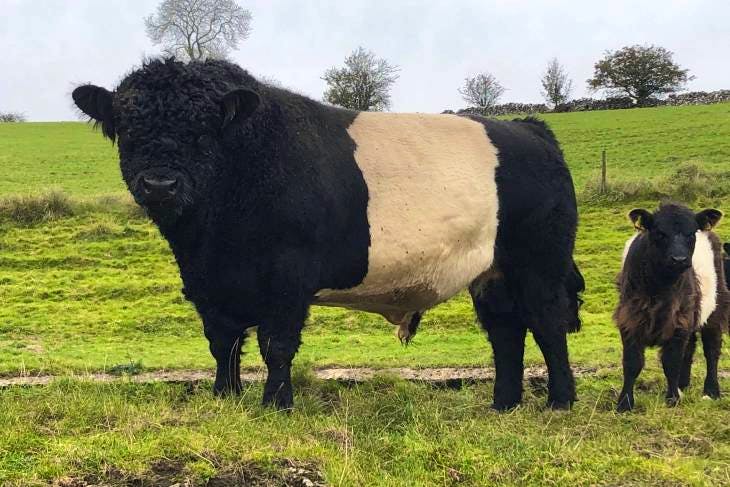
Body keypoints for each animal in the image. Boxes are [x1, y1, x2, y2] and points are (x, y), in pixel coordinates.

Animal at [74, 59, 584, 414]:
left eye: (203, 130)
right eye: (127, 129)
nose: (160, 184)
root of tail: (529, 129)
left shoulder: (288, 275)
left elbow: (276, 343)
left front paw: (276, 405)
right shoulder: (207, 283)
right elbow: (223, 342)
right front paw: (225, 397)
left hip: (539, 262)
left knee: (546, 321)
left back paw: (559, 401)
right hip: (491, 271)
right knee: (505, 329)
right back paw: (503, 404)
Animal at [616, 203, 728, 412]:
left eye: (691, 233)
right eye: (659, 233)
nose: (679, 259)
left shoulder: (678, 322)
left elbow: (671, 362)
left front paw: (673, 398)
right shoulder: (629, 319)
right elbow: (632, 363)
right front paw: (624, 403)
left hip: (716, 309)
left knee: (711, 350)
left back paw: (711, 391)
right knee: (690, 347)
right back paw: (683, 384)